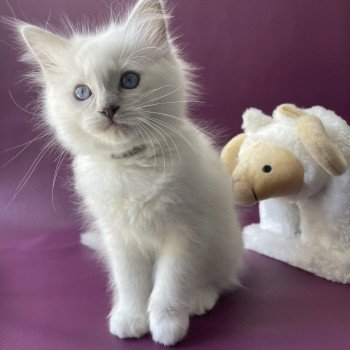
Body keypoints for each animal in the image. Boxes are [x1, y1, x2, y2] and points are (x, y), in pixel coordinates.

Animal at [15, 0, 242, 344]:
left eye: (129, 81)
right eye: (82, 93)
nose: (108, 109)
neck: (130, 165)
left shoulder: (185, 234)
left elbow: (170, 285)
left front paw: (167, 325)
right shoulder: (120, 240)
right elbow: (132, 285)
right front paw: (131, 318)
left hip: (223, 244)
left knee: (218, 280)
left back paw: (198, 300)